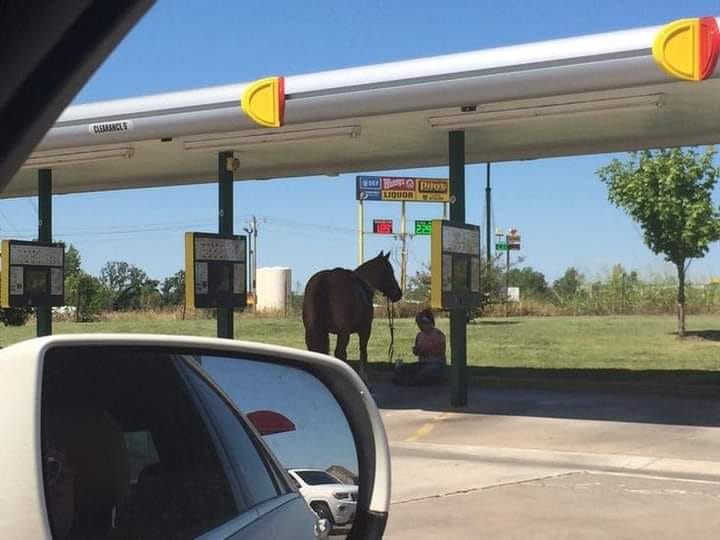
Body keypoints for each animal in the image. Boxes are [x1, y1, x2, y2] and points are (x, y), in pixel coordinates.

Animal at [302, 251, 402, 381]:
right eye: (390, 271)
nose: (398, 294)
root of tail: (326, 279)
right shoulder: (365, 330)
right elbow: (363, 352)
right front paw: (364, 376)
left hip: (313, 331)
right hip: (343, 333)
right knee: (340, 353)